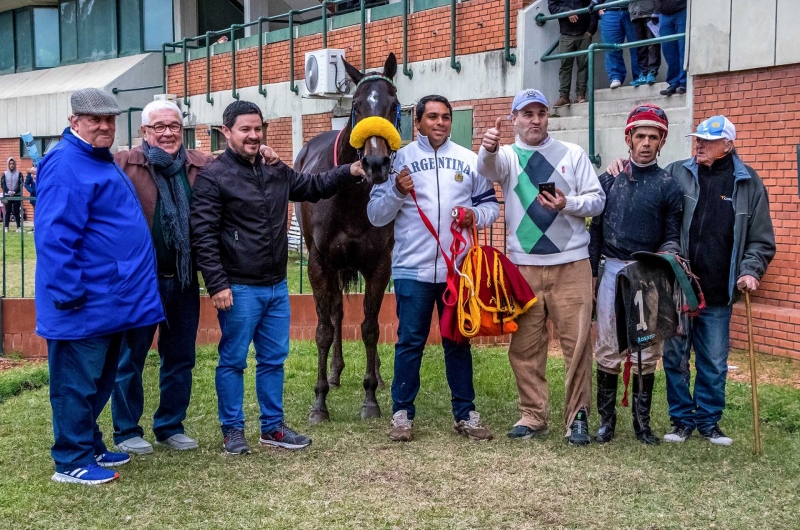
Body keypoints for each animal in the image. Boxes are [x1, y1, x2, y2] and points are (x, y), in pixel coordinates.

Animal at [294, 50, 400, 420]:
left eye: (393, 105)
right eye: (357, 105)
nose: (375, 164)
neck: (352, 195)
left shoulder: (379, 264)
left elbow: (371, 326)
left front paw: (370, 398)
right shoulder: (319, 263)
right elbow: (324, 329)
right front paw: (319, 402)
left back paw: (377, 375)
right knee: (337, 311)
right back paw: (335, 372)